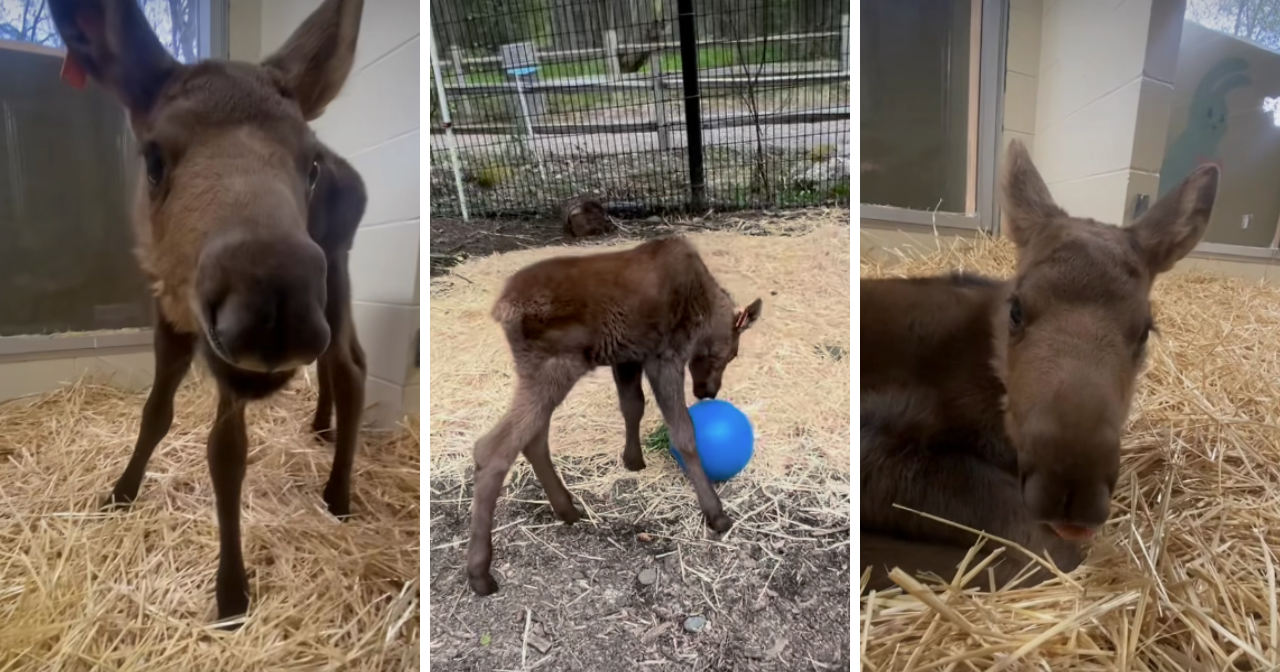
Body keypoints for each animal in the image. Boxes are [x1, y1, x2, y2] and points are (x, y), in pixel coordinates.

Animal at [46, 0, 369, 623]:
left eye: (309, 166)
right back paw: (319, 428)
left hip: (336, 266)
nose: (275, 305)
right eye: (153, 158)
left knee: (350, 366)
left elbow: (225, 456)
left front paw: (231, 594)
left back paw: (338, 495)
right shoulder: (168, 314)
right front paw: (121, 492)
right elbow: (155, 414)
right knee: (344, 361)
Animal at [466, 236, 763, 596]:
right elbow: (684, 433)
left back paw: (567, 508)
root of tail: (501, 309)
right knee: (494, 448)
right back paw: (480, 571)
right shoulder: (665, 356)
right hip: (555, 366)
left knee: (533, 438)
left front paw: (633, 460)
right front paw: (715, 513)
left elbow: (632, 405)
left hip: (545, 372)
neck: (705, 312)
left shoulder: (627, 357)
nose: (708, 392)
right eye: (732, 354)